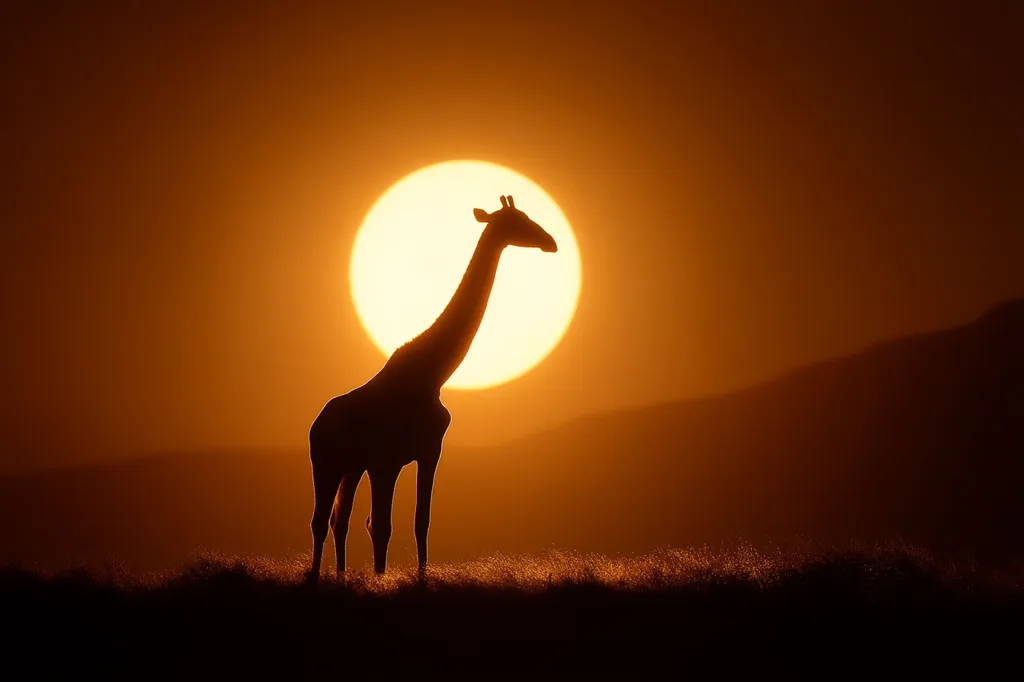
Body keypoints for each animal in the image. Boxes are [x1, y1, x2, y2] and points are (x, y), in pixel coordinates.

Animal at [306, 194, 558, 580]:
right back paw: (317, 576)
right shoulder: (386, 460)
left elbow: (420, 522)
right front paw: (381, 580)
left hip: (351, 466)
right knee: (320, 521)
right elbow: (381, 525)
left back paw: (340, 577)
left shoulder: (429, 451)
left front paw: (419, 579)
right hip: (326, 462)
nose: (551, 242)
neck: (433, 373)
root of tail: (315, 424)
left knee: (340, 519)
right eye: (519, 221)